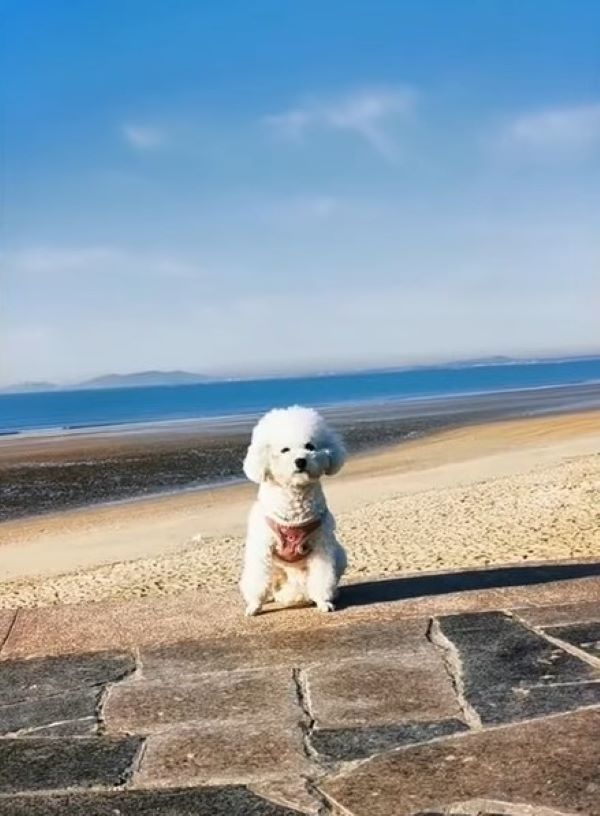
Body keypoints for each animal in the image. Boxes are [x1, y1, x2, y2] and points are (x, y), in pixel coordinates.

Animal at [239, 404, 346, 616]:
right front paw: (254, 605)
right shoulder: (262, 548)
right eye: (285, 450)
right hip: (275, 569)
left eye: (310, 446)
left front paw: (323, 601)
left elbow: (322, 577)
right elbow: (258, 580)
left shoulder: (321, 547)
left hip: (339, 555)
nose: (300, 461)